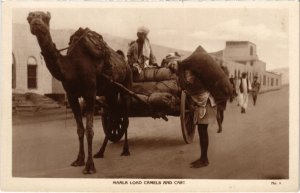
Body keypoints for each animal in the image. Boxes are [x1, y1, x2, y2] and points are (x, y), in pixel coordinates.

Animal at [27, 11, 132, 174]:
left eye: (46, 18)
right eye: (29, 18)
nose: (36, 24)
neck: (71, 67)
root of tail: (124, 61)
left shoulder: (90, 93)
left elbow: (89, 130)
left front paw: (89, 166)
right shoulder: (71, 96)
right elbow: (80, 129)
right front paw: (79, 160)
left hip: (125, 85)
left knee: (125, 118)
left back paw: (126, 150)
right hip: (110, 91)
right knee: (113, 117)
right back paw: (100, 152)